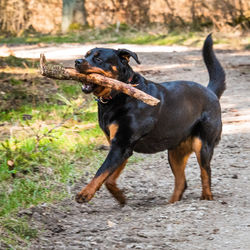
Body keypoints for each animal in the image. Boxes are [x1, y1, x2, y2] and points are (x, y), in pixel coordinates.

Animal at [75, 33, 226, 205]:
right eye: (86, 55)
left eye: (99, 59)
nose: (77, 61)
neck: (119, 95)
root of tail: (210, 92)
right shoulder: (121, 148)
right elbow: (109, 179)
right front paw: (120, 197)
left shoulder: (120, 146)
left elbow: (101, 171)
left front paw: (85, 193)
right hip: (175, 152)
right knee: (182, 182)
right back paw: (171, 204)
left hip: (202, 145)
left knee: (205, 172)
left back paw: (206, 197)